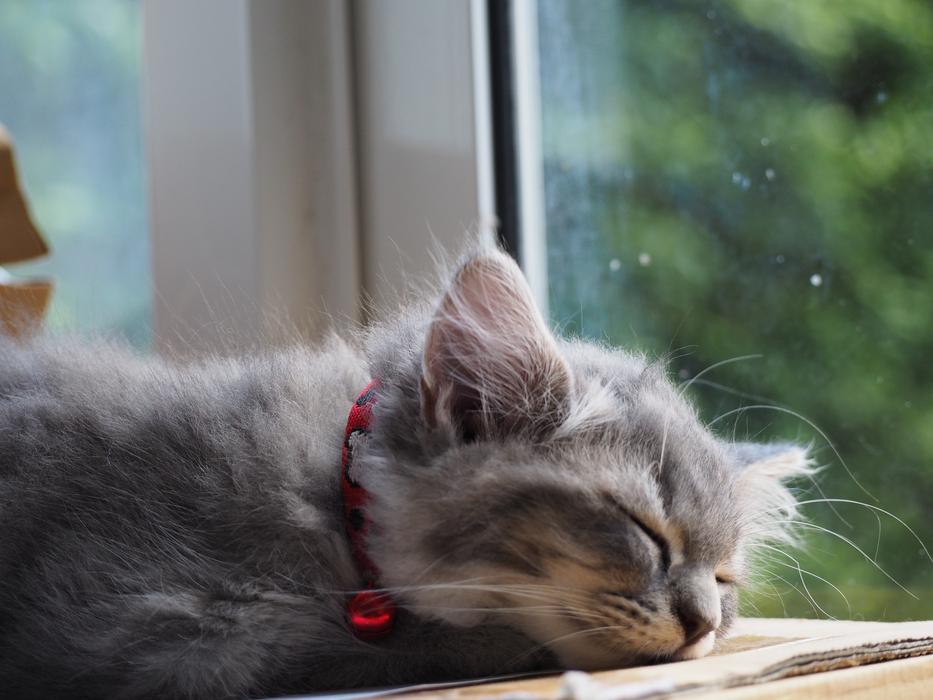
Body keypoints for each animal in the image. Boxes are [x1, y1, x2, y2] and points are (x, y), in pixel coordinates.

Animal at [0, 243, 808, 696]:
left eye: (725, 578)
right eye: (639, 529)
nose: (703, 623)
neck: (337, 493)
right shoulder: (144, 631)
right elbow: (399, 645)